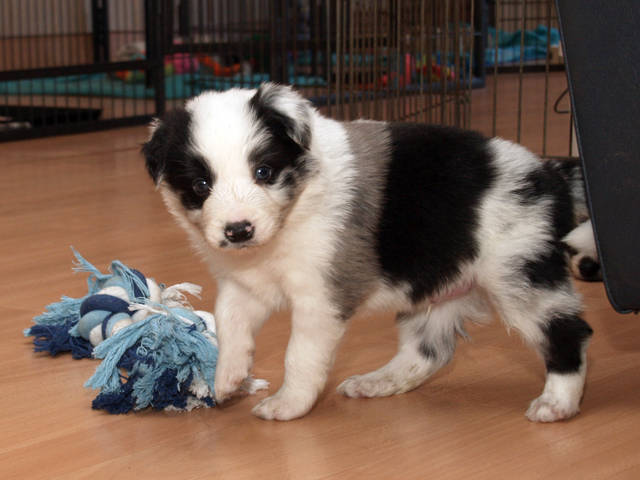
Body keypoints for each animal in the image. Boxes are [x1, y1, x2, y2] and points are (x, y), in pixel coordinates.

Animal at [143, 83, 599, 422]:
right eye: (201, 185)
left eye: (264, 172)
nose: (238, 230)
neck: (292, 214)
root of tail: (550, 173)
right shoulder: (245, 285)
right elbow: (231, 323)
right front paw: (227, 378)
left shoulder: (322, 299)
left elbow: (300, 356)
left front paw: (289, 404)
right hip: (440, 287)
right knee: (429, 353)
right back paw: (378, 382)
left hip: (520, 274)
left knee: (567, 333)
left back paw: (558, 403)